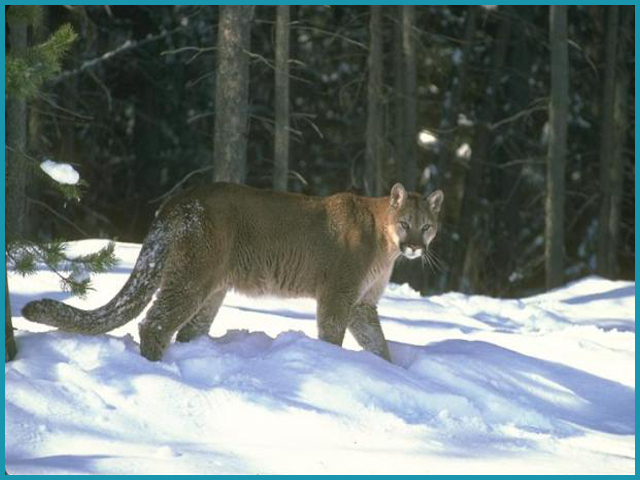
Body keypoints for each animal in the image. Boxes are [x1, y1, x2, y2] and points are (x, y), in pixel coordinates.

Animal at [22, 182, 442, 362]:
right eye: (405, 223)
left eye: (427, 226)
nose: (416, 247)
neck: (385, 242)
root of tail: (180, 198)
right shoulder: (338, 295)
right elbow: (333, 336)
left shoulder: (362, 304)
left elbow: (377, 343)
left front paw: (389, 370)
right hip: (192, 277)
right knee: (154, 323)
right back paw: (156, 368)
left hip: (212, 288)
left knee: (187, 330)